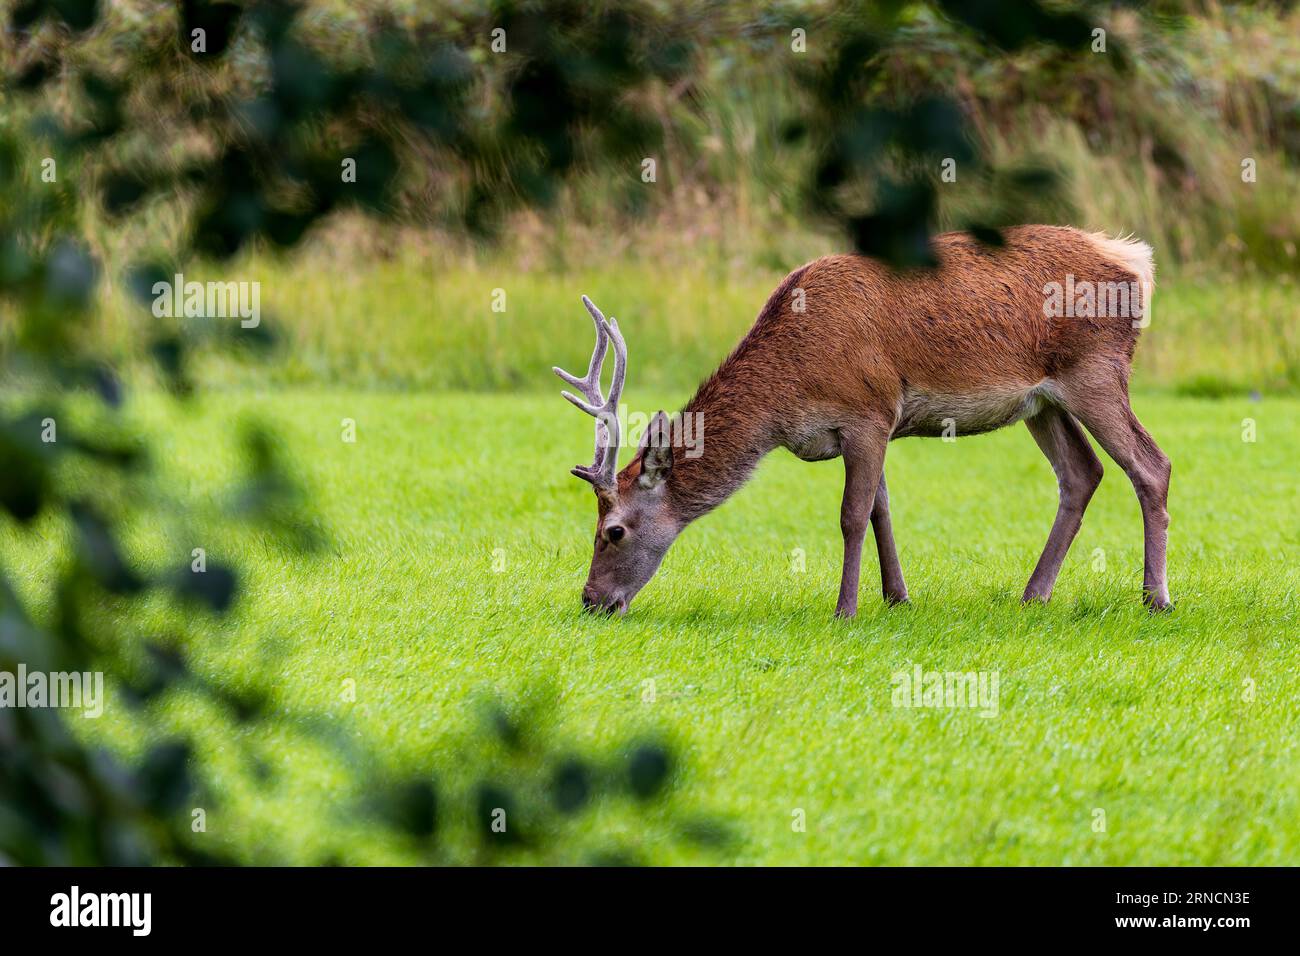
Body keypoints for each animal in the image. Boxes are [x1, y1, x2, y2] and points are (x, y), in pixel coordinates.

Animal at [553, 223, 1175, 616]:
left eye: (612, 531)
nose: (590, 600)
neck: (789, 394)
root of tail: (1138, 263)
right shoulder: (873, 425)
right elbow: (881, 506)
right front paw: (898, 597)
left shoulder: (868, 410)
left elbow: (852, 515)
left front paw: (846, 609)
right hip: (1042, 402)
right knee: (1082, 473)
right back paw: (1033, 595)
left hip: (1095, 371)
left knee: (1152, 465)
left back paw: (1156, 598)